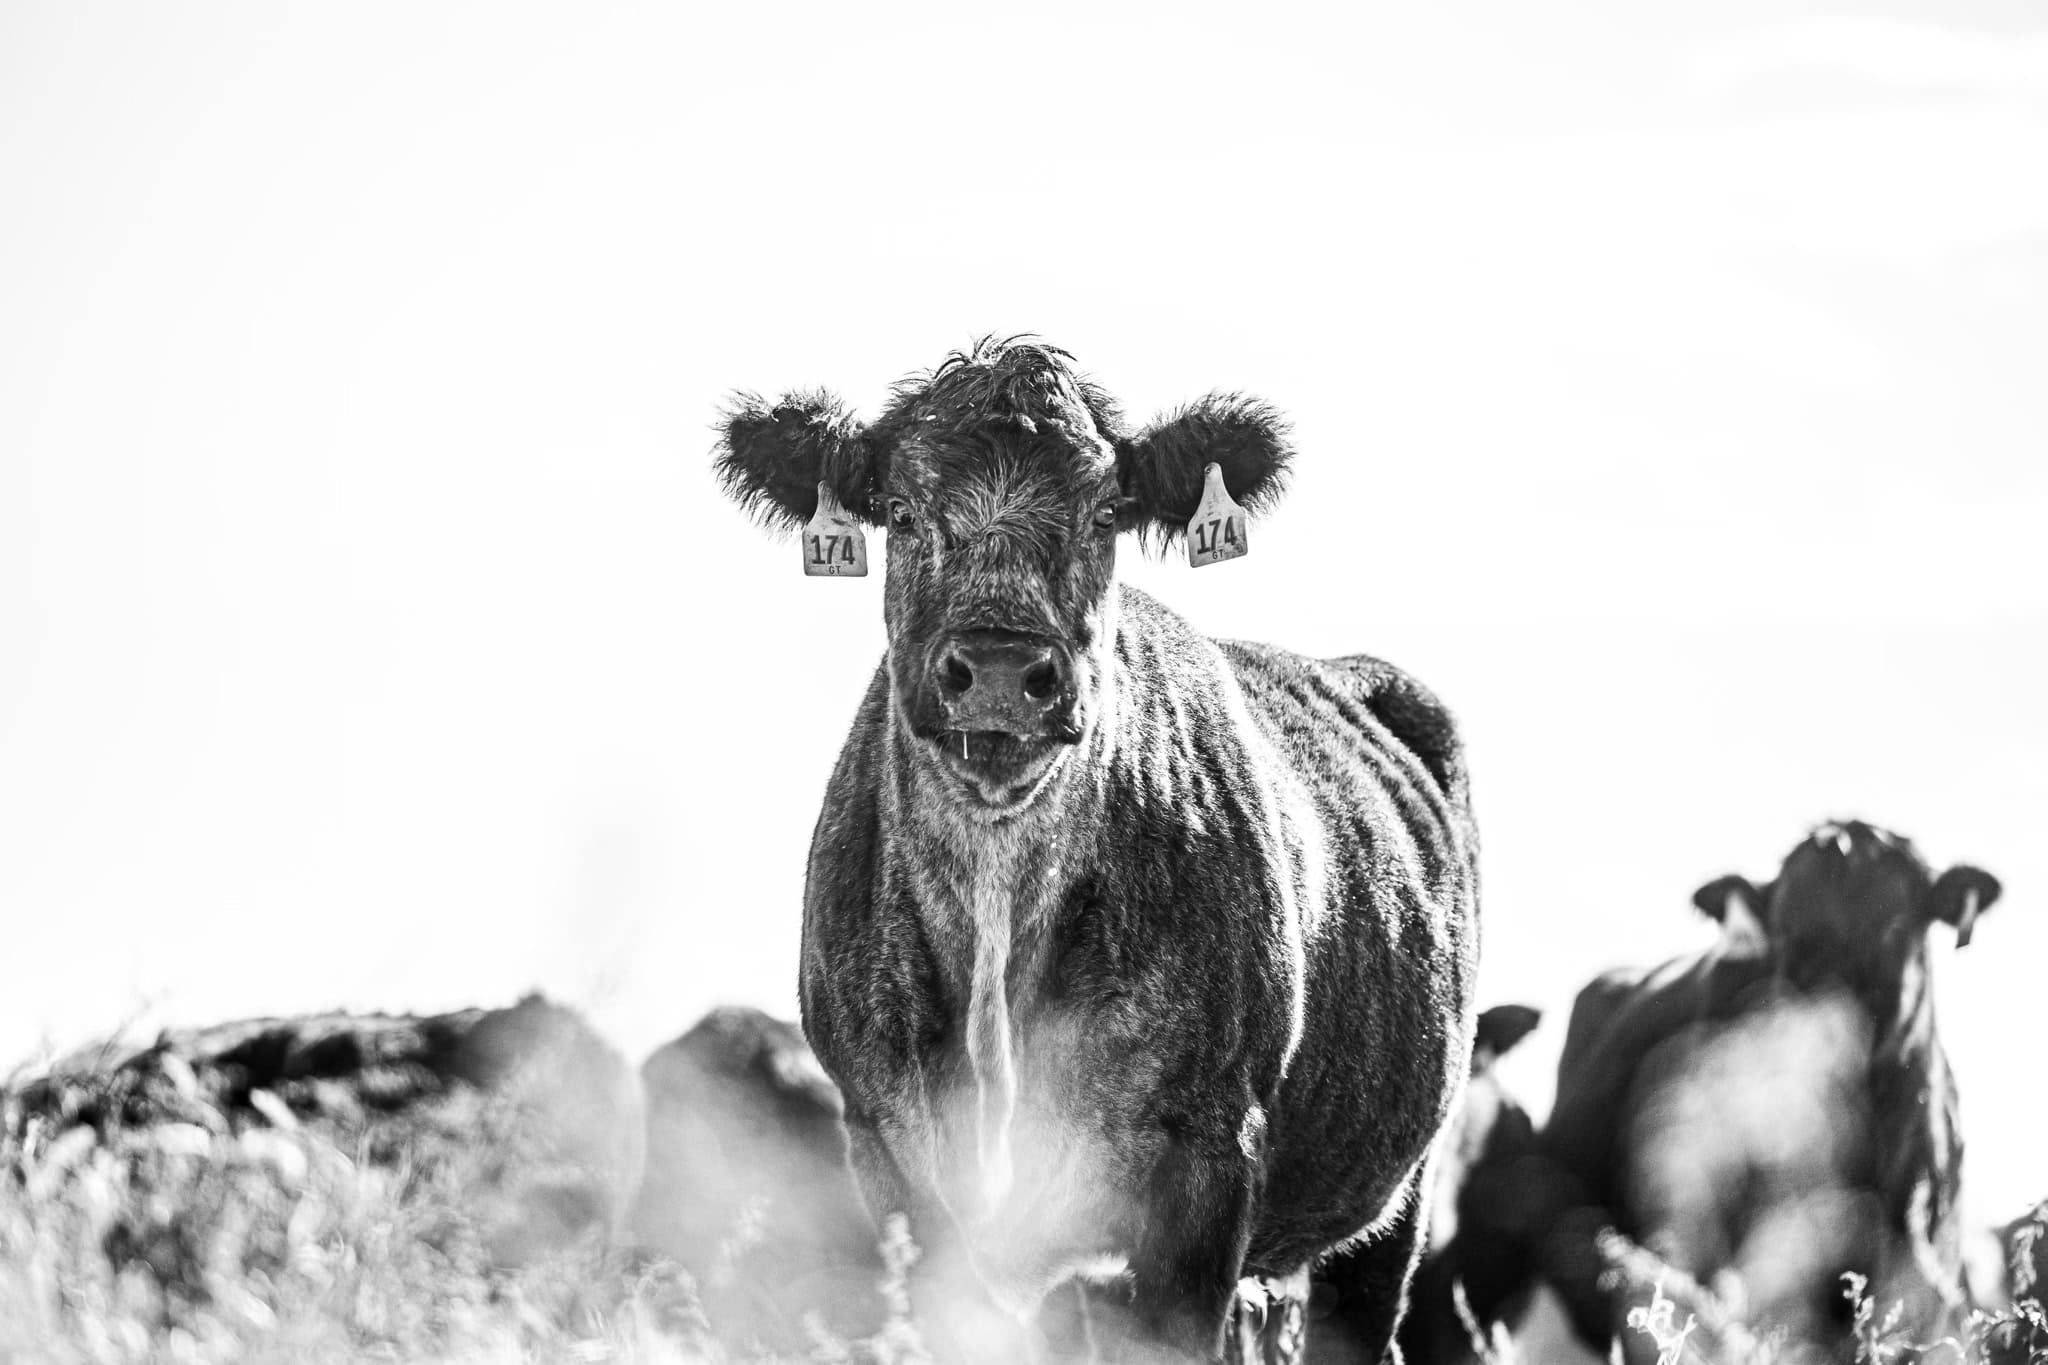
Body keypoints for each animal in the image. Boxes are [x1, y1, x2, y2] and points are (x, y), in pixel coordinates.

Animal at [711, 337, 1481, 1363]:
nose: (1001, 669)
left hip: (1403, 1191)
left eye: (1107, 512)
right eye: (902, 511)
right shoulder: (885, 1148)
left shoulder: (1207, 1161)